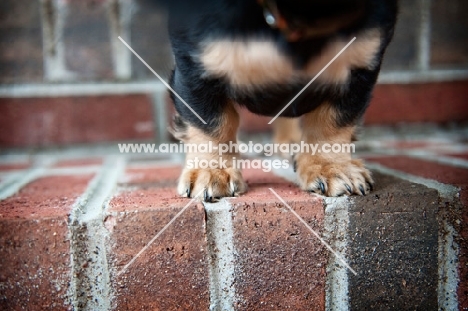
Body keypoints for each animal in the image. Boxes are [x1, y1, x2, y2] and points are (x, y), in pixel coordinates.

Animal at [156, 0, 394, 201]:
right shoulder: (196, 67)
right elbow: (210, 123)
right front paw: (212, 171)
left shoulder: (359, 65)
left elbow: (334, 123)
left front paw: (332, 168)